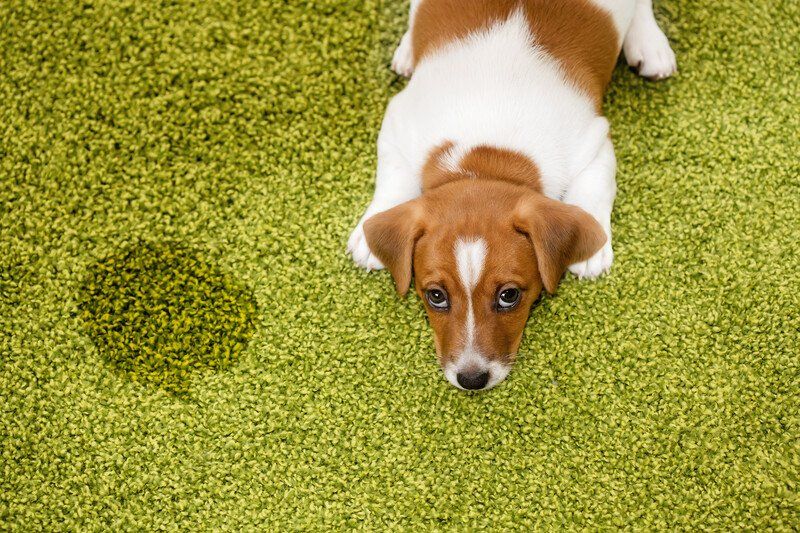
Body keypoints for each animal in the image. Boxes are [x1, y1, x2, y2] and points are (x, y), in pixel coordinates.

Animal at [346, 0, 680, 390]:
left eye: (509, 296)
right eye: (435, 296)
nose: (471, 379)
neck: (486, 155)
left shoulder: (594, 141)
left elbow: (594, 190)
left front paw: (592, 246)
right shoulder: (398, 122)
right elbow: (393, 177)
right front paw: (370, 234)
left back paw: (649, 43)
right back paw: (406, 50)